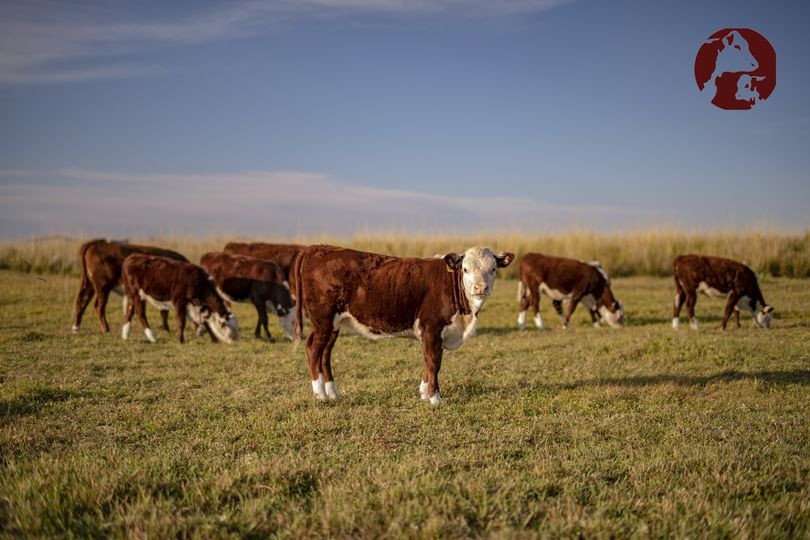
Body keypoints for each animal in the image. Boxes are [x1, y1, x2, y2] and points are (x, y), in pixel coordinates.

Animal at [292, 245, 512, 404]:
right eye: (465, 269)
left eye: (493, 269)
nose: (480, 287)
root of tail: (318, 248)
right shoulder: (431, 329)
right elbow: (433, 362)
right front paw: (435, 398)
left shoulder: (436, 334)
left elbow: (430, 362)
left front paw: (423, 393)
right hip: (323, 320)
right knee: (313, 347)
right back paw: (320, 395)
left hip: (334, 323)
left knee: (325, 353)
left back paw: (332, 393)